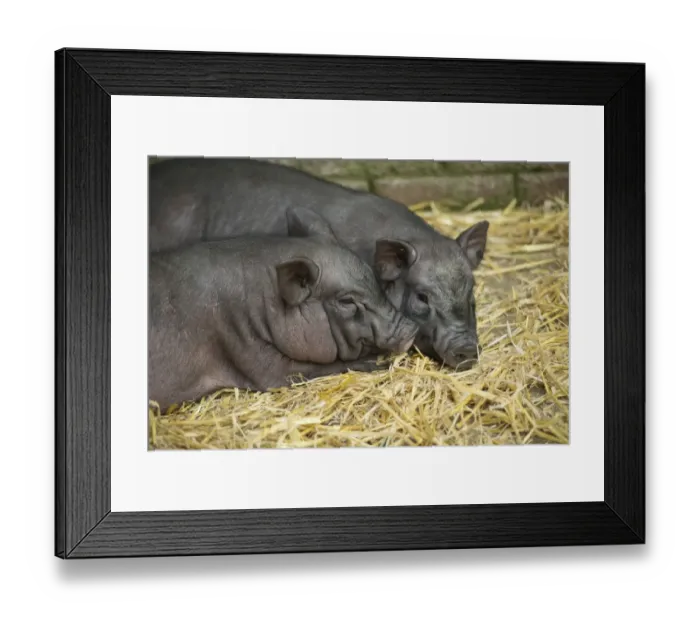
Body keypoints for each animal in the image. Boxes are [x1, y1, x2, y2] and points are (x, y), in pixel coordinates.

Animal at [148, 208, 419, 407]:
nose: (411, 329)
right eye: (346, 301)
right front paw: (377, 363)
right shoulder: (239, 343)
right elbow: (297, 372)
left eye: (372, 276)